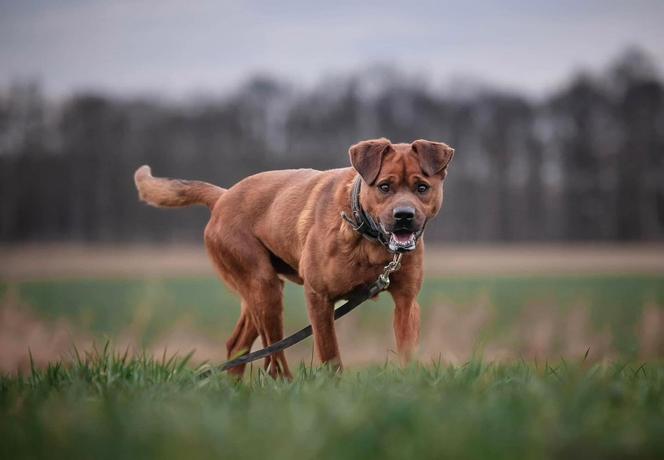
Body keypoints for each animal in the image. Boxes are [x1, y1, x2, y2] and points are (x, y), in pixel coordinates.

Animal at [135, 139, 456, 378]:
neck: (370, 240)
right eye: (385, 187)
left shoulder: (406, 302)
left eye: (422, 187)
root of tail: (223, 197)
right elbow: (330, 354)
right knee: (273, 357)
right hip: (263, 287)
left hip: (260, 292)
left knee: (238, 346)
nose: (404, 216)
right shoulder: (319, 297)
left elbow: (407, 351)